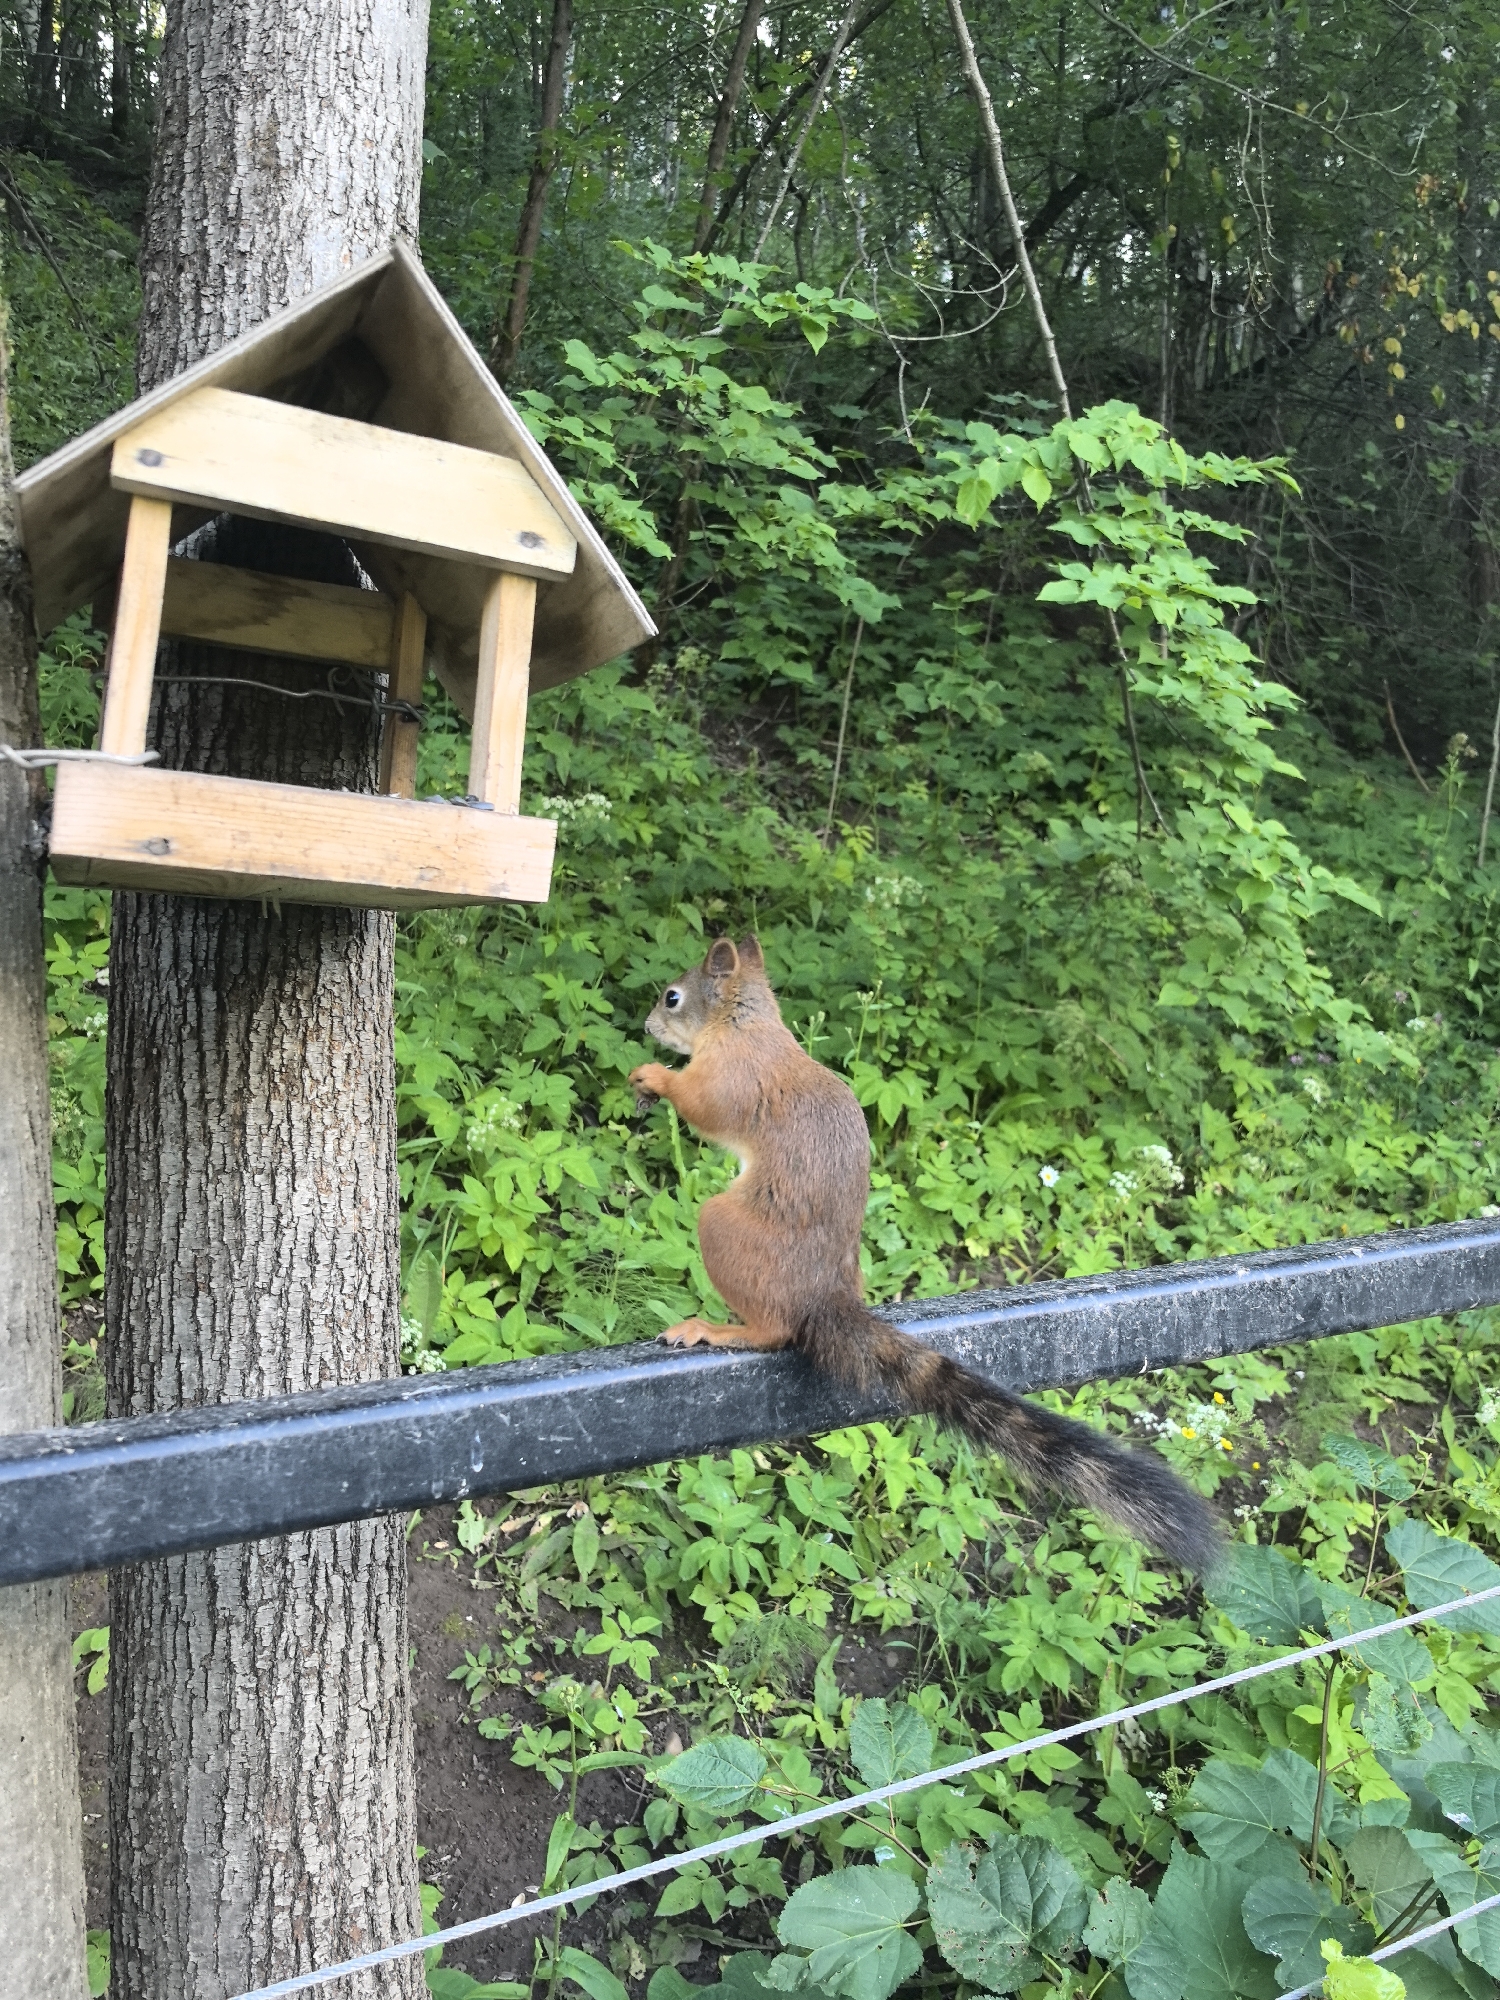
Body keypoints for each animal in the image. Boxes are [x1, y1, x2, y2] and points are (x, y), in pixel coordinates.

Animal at [629, 934, 1219, 1575]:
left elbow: (705, 1106)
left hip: (723, 1229)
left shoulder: (735, 1075)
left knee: (773, 1331)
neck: (744, 1023)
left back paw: (715, 1329)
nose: (648, 1026)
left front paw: (653, 1077)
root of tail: (824, 1296)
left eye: (672, 997)